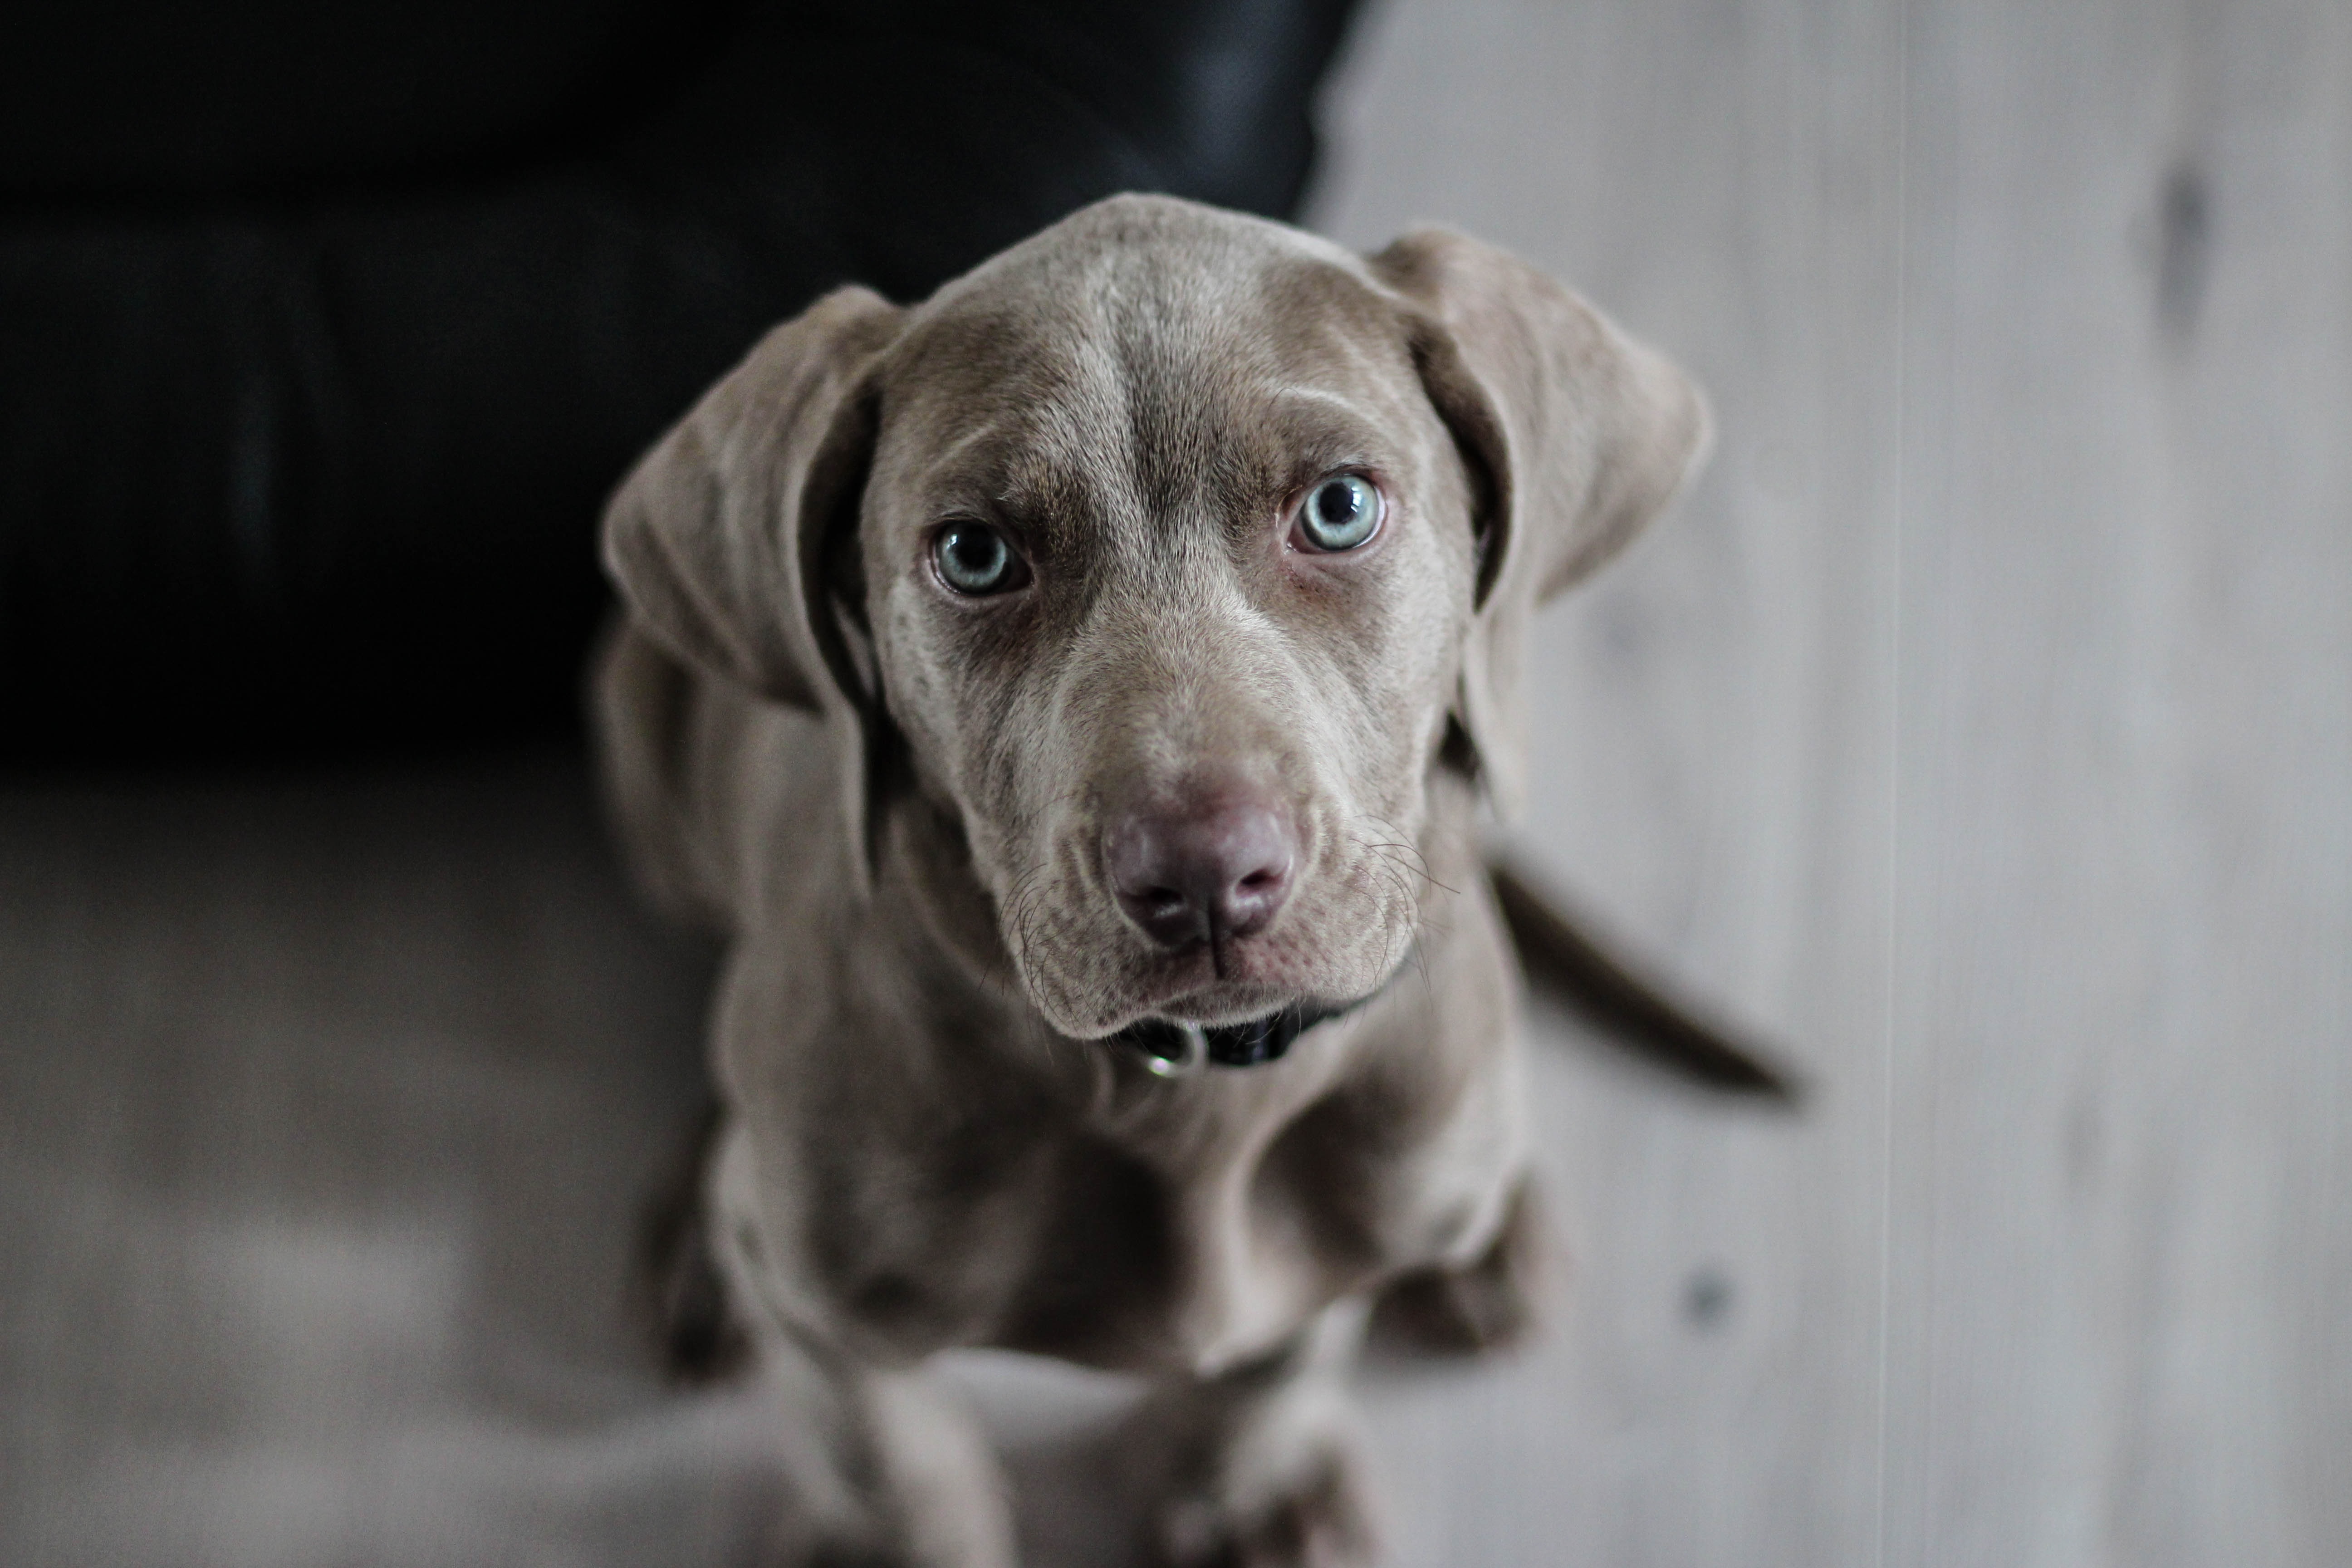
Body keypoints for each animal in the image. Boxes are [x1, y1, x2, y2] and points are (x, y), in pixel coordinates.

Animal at [597, 190, 1721, 1561]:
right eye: (973, 554)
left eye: (1338, 508)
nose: (1204, 877)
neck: (1189, 1095)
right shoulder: (822, 1304)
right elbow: (881, 1447)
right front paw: (901, 1532)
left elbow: (1285, 1352)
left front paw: (1250, 1488)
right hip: (640, 738)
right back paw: (695, 1238)